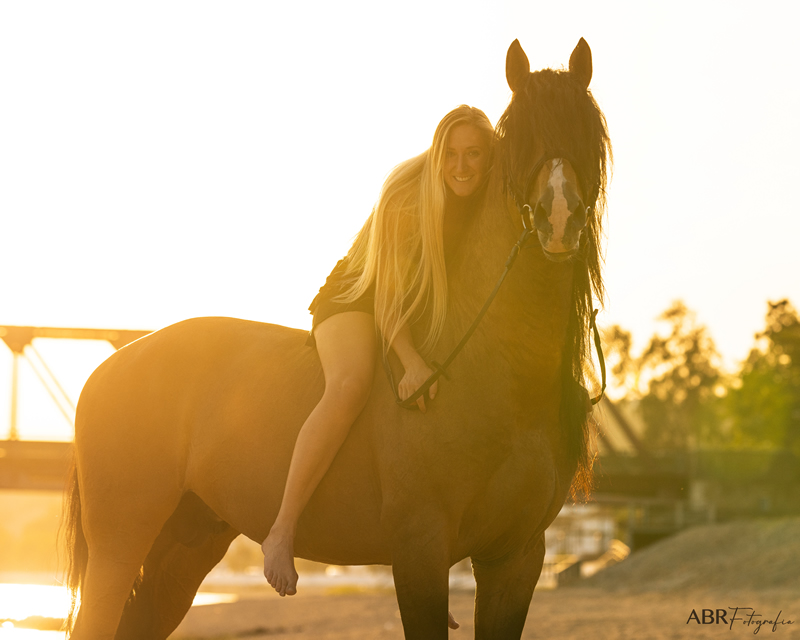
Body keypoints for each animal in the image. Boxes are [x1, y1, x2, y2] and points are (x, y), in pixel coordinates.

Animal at [64, 37, 612, 636]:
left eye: (586, 131)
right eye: (519, 138)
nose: (558, 218)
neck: (494, 376)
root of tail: (111, 366)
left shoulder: (516, 558)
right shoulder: (420, 549)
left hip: (185, 547)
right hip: (120, 546)